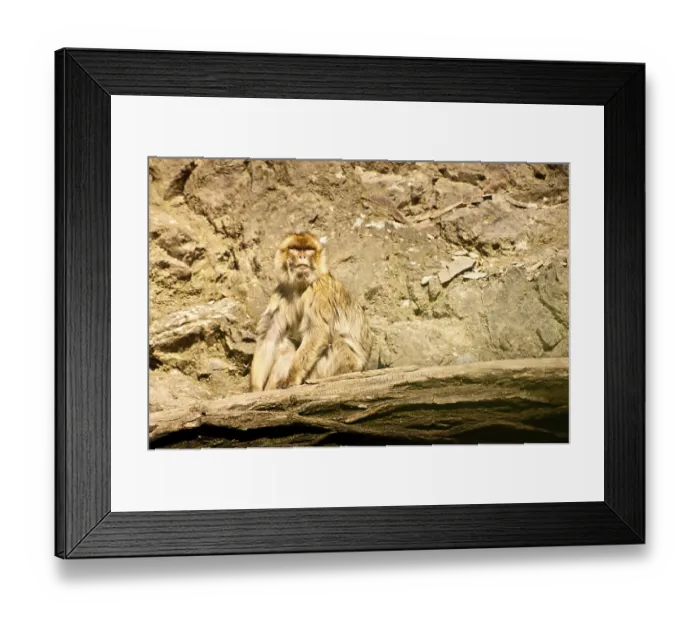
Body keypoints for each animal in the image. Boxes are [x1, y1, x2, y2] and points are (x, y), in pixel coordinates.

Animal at [249, 232, 373, 392]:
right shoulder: (282, 291)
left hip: (344, 364)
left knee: (335, 339)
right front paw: (255, 388)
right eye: (295, 248)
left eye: (308, 249)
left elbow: (317, 332)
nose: (302, 256)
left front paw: (292, 378)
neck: (301, 285)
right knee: (285, 345)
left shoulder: (320, 290)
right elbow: (269, 336)